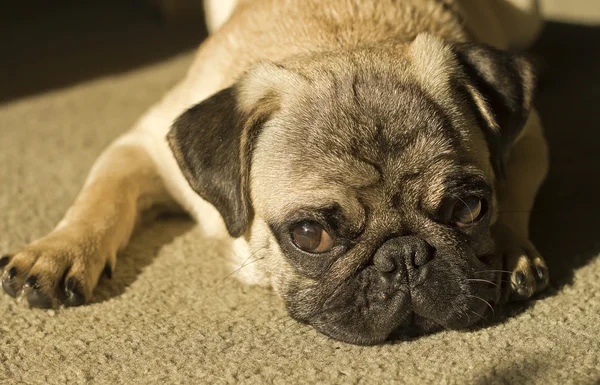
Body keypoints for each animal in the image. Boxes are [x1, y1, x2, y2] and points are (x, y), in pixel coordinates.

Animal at [2, 0, 552, 344]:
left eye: (470, 208)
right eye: (309, 235)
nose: (405, 255)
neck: (340, 37)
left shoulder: (529, 136)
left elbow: (516, 189)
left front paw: (510, 248)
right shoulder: (142, 146)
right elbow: (101, 198)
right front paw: (58, 252)